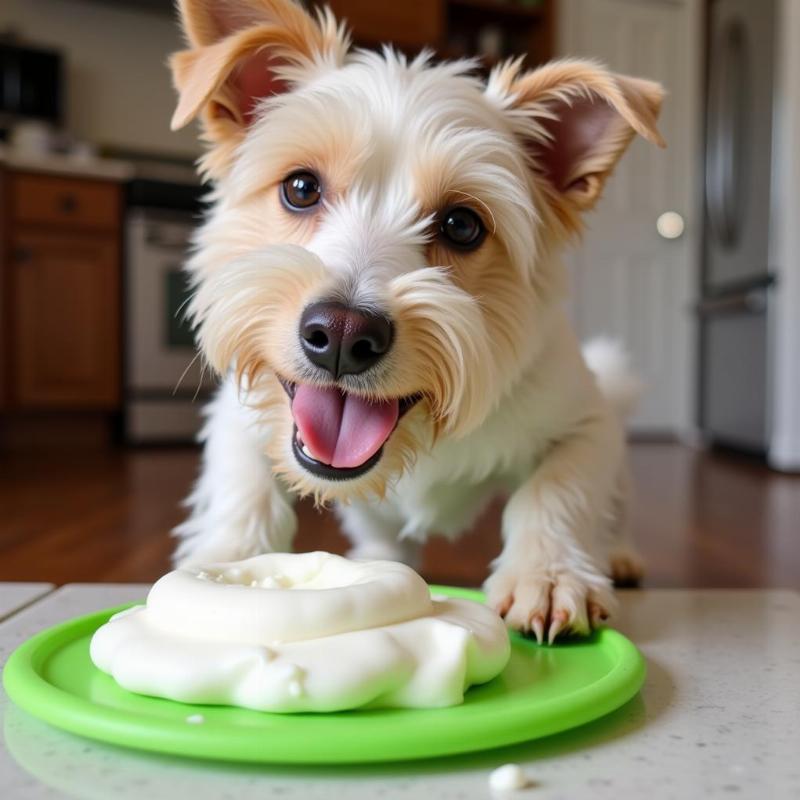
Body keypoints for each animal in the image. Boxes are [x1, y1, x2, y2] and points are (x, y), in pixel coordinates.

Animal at [169, 0, 664, 644]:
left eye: (462, 225)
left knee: (617, 504)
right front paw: (224, 564)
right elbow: (243, 488)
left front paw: (548, 574)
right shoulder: (237, 414)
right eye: (300, 187)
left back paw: (621, 553)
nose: (342, 333)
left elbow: (556, 491)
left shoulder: (585, 421)